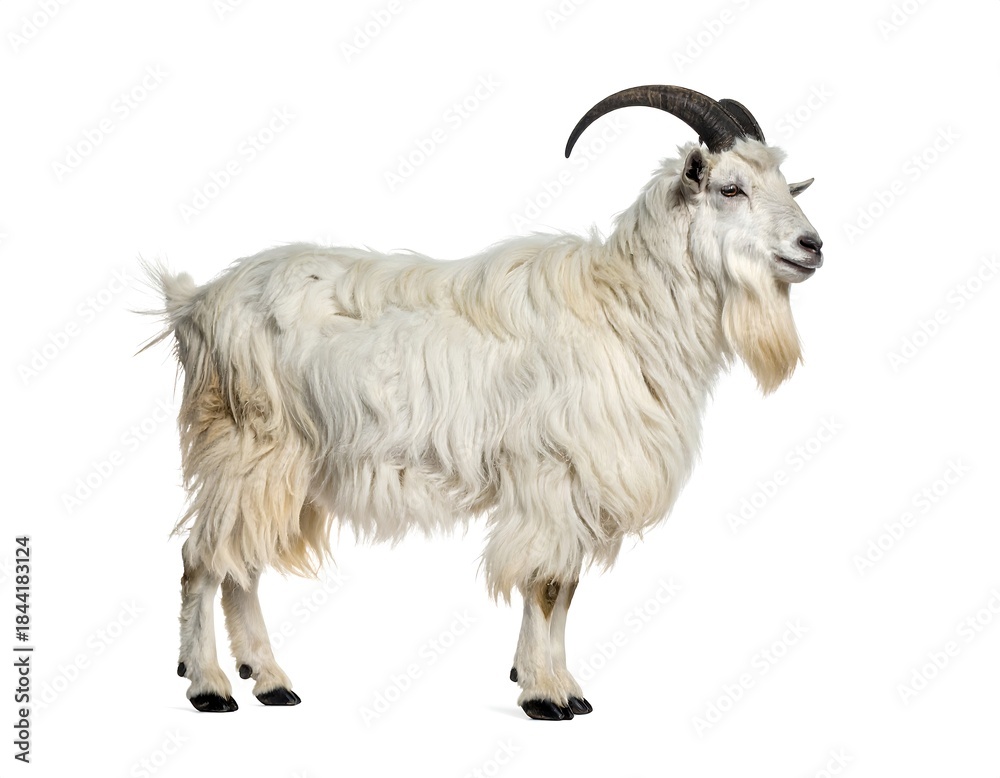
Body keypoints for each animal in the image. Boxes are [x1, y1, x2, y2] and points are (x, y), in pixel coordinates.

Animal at [148, 85, 823, 719]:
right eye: (731, 188)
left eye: (786, 185)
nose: (811, 245)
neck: (623, 305)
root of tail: (197, 303)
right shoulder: (550, 474)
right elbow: (545, 584)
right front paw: (546, 695)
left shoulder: (572, 488)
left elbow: (564, 586)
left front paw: (561, 686)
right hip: (249, 442)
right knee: (201, 558)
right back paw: (208, 685)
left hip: (279, 464)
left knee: (239, 562)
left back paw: (268, 680)